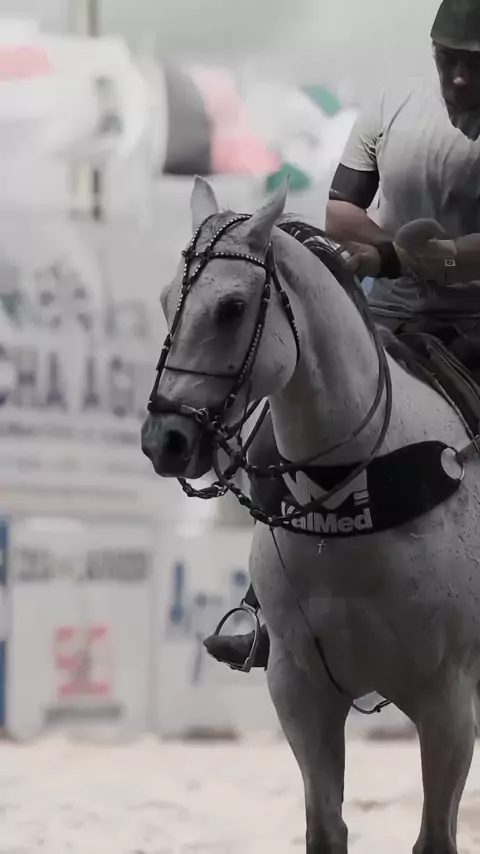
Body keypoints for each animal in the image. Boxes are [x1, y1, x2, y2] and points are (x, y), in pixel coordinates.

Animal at [141, 175, 480, 854]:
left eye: (231, 308)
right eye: (168, 302)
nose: (165, 440)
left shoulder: (449, 701)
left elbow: (436, 837)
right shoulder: (301, 691)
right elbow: (326, 828)